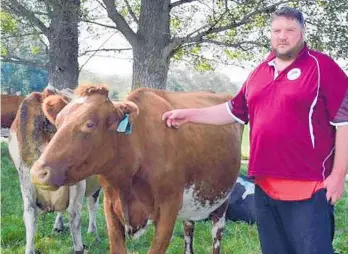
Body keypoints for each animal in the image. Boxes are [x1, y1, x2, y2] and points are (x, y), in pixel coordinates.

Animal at [30, 86, 242, 254]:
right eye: (57, 123)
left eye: (89, 124)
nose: (38, 173)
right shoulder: (110, 205)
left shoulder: (169, 209)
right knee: (189, 232)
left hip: (221, 203)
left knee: (216, 237)